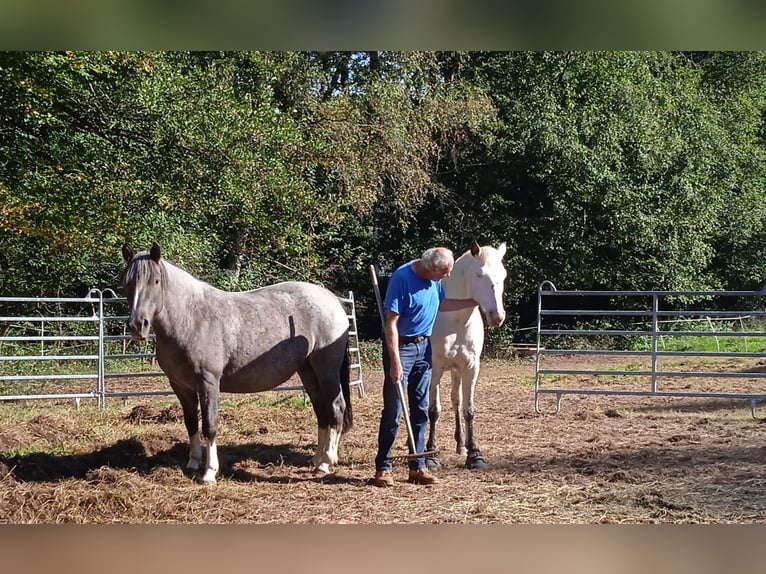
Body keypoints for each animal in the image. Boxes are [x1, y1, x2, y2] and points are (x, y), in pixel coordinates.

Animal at [121, 243, 352, 486]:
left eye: (155, 281)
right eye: (126, 281)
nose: (137, 325)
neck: (191, 318)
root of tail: (333, 300)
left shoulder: (208, 382)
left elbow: (209, 425)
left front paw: (209, 472)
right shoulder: (181, 386)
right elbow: (191, 423)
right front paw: (193, 462)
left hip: (326, 370)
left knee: (336, 406)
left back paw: (327, 461)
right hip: (308, 371)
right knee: (321, 410)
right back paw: (317, 460)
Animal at [428, 242, 508, 472]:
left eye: (503, 275)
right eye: (480, 275)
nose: (497, 316)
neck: (455, 319)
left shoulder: (471, 368)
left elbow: (468, 410)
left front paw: (474, 453)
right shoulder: (434, 369)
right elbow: (433, 411)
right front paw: (431, 455)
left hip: (456, 371)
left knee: (456, 400)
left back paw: (460, 445)